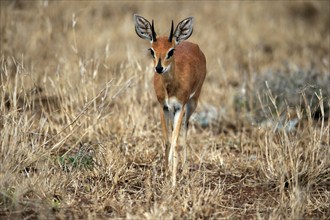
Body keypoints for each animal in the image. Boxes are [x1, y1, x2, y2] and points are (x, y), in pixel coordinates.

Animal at [134, 14, 206, 186]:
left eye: (171, 51)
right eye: (151, 50)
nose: (159, 68)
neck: (170, 87)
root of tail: (191, 43)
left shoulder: (180, 107)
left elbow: (175, 142)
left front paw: (173, 182)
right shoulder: (163, 107)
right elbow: (167, 140)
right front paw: (166, 174)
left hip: (192, 103)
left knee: (185, 130)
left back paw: (184, 170)